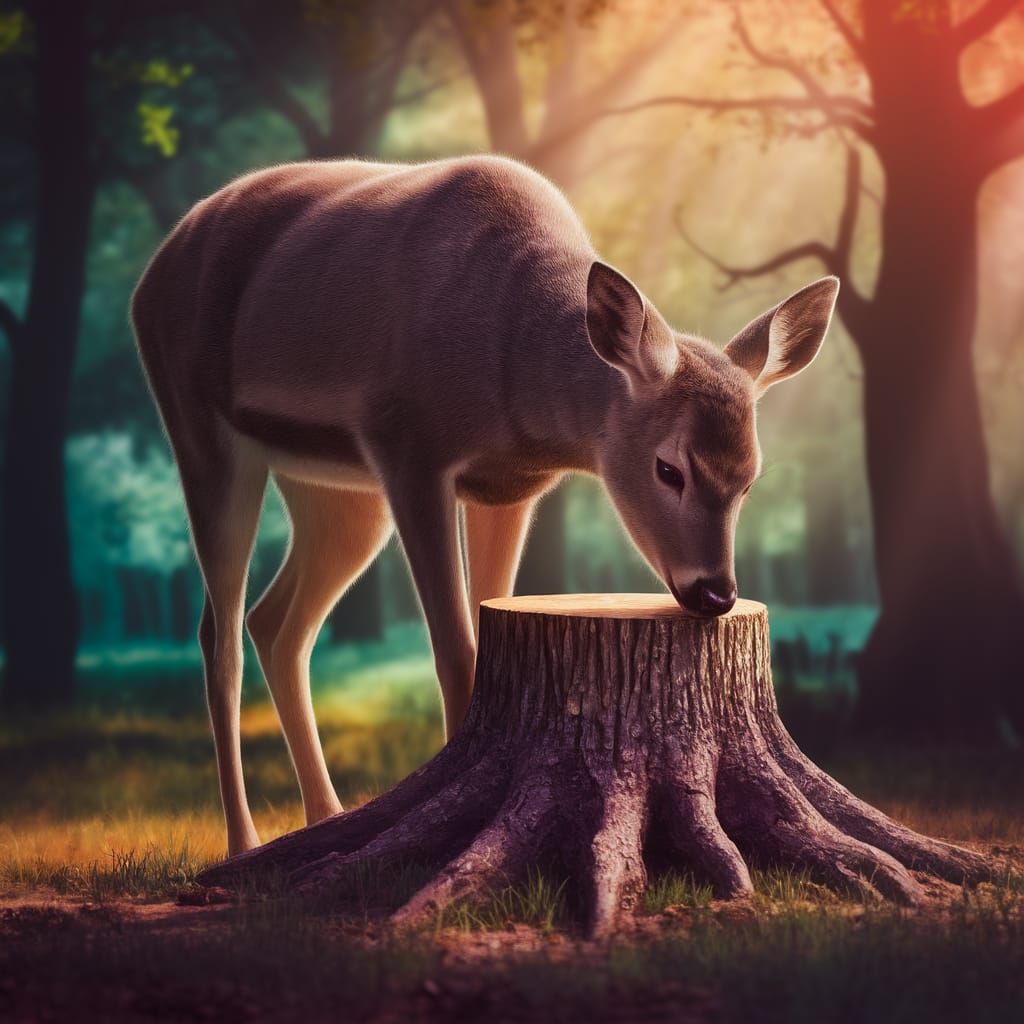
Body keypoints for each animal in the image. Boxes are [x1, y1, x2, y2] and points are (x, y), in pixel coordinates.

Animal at [131, 155, 839, 856]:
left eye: (751, 479)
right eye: (669, 468)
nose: (715, 592)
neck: (511, 374)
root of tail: (149, 276)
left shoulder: (510, 487)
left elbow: (488, 623)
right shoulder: (406, 445)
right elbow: (454, 650)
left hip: (337, 491)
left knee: (276, 623)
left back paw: (324, 819)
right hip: (201, 427)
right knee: (218, 636)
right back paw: (243, 842)